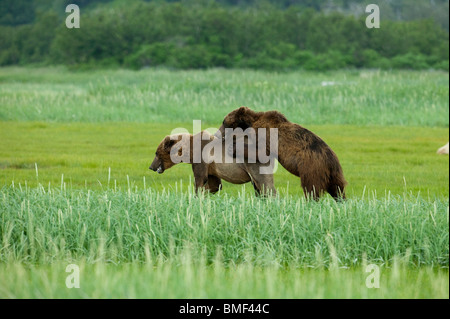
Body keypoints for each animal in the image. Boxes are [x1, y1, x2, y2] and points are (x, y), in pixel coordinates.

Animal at [216, 109, 346, 201]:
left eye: (224, 122)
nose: (217, 134)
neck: (250, 123)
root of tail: (331, 162)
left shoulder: (265, 134)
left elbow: (261, 152)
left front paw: (233, 148)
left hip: (312, 168)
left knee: (311, 188)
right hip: (335, 174)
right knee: (338, 189)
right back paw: (341, 201)